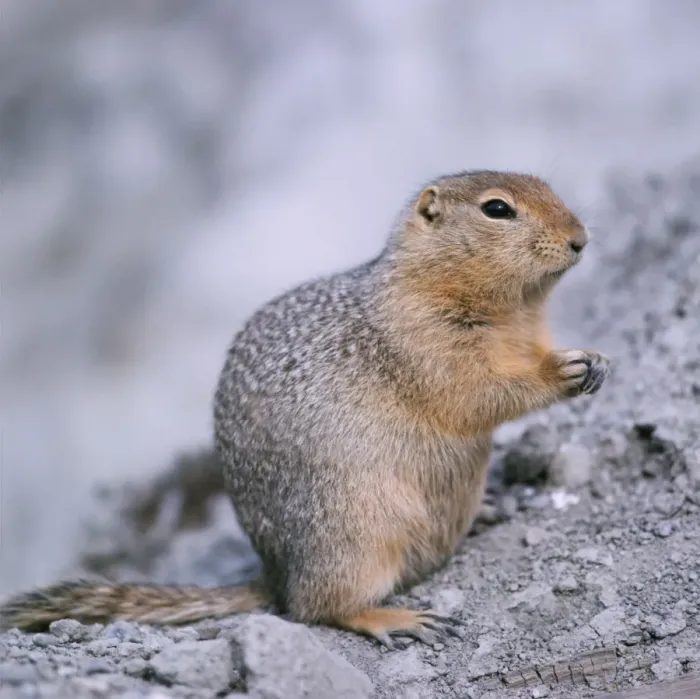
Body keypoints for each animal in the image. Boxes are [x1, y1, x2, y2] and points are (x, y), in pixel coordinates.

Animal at [0, 170, 609, 648]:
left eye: (549, 187)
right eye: (497, 209)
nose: (580, 239)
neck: (512, 311)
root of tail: (274, 574)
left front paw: (596, 360)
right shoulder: (425, 342)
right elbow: (477, 392)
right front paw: (560, 373)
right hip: (356, 535)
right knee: (317, 609)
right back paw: (397, 617)